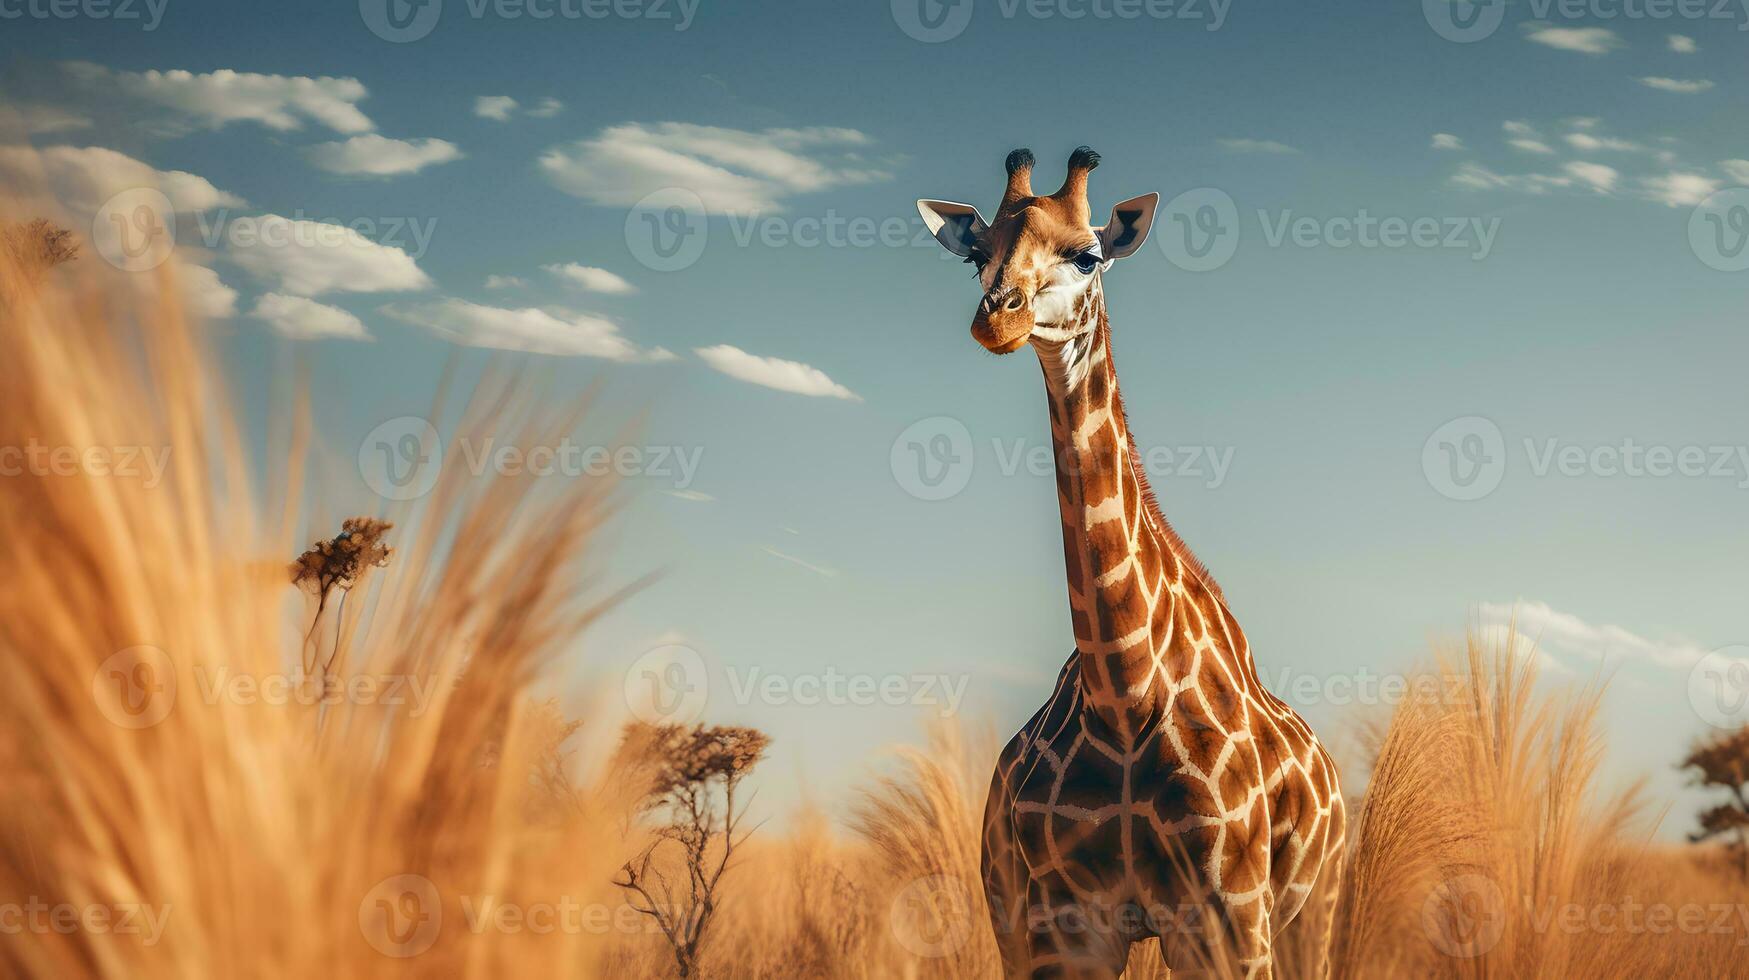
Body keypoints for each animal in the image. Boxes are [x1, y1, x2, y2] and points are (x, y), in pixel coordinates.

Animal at [923, 149, 1343, 973]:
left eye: (1087, 255)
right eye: (975, 254)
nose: (998, 316)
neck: (1123, 695)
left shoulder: (1226, 923)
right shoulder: (1063, 928)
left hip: (1312, 914)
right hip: (1005, 913)